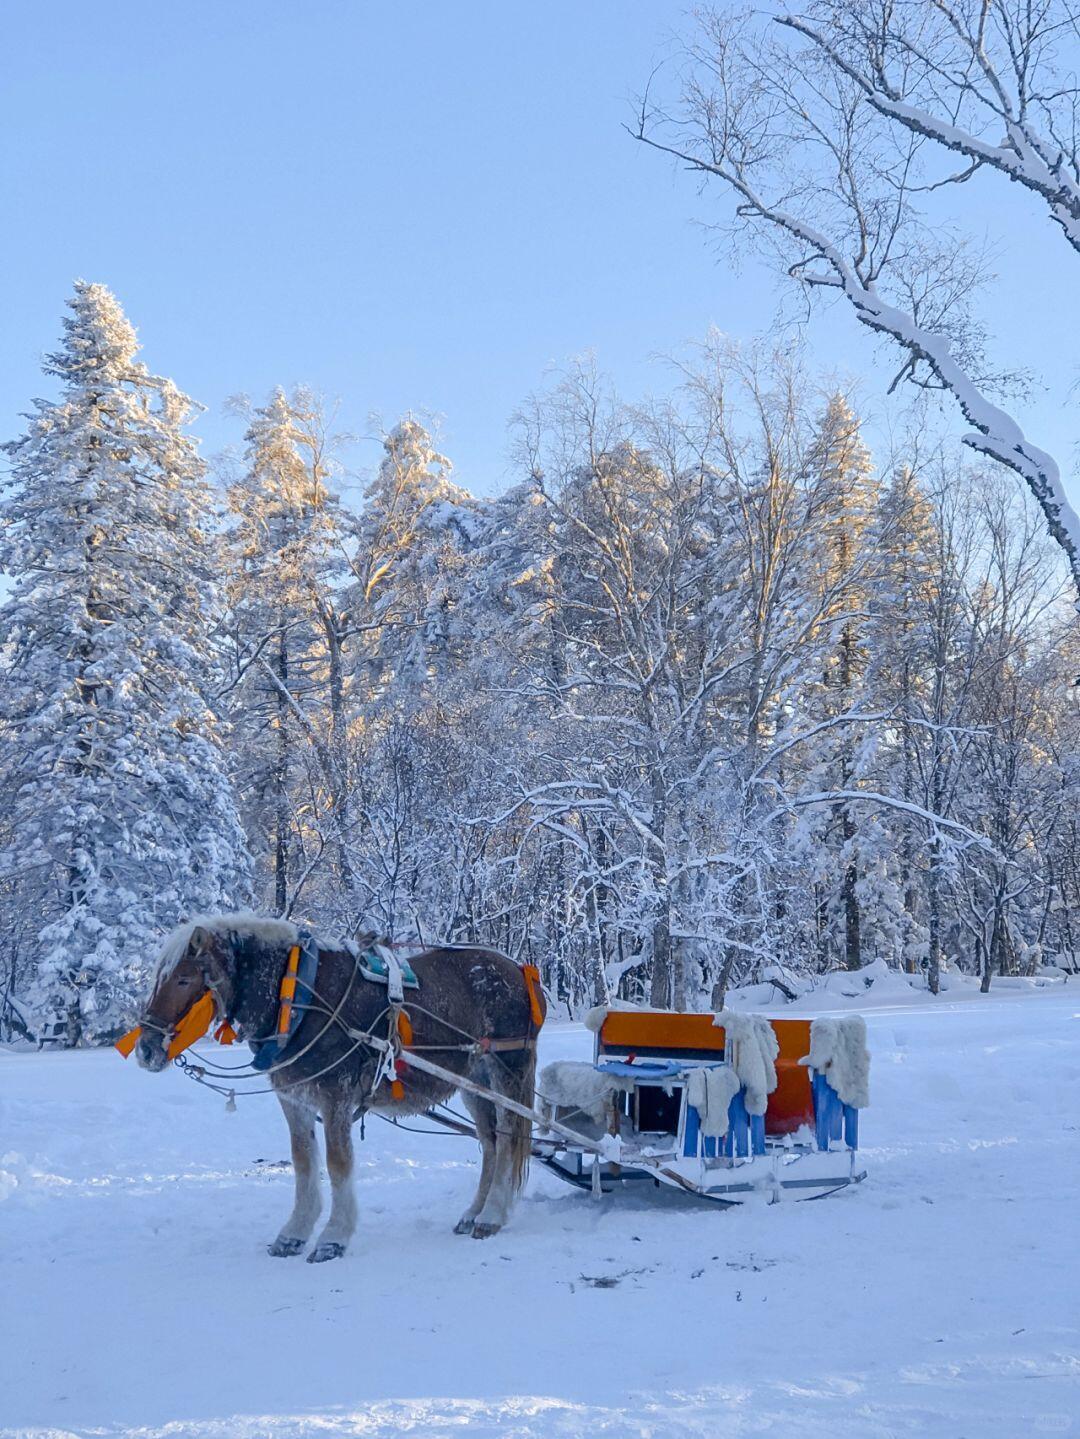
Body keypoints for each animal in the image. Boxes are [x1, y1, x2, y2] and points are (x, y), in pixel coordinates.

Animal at [132, 915, 543, 1266]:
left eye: (184, 979)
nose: (146, 1049)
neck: (297, 996)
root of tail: (517, 969)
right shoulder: (294, 1098)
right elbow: (303, 1162)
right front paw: (295, 1233)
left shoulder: (336, 1098)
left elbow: (338, 1164)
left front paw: (333, 1237)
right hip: (474, 1081)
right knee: (490, 1142)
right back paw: (475, 1212)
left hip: (507, 1070)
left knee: (508, 1138)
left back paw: (492, 1214)